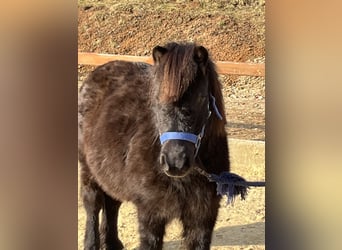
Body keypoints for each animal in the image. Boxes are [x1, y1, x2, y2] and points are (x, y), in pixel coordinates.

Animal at [78, 42, 236, 249]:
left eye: (202, 98)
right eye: (158, 98)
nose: (175, 162)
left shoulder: (202, 218)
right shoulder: (151, 215)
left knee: (112, 203)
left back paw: (112, 243)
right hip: (87, 168)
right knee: (93, 203)